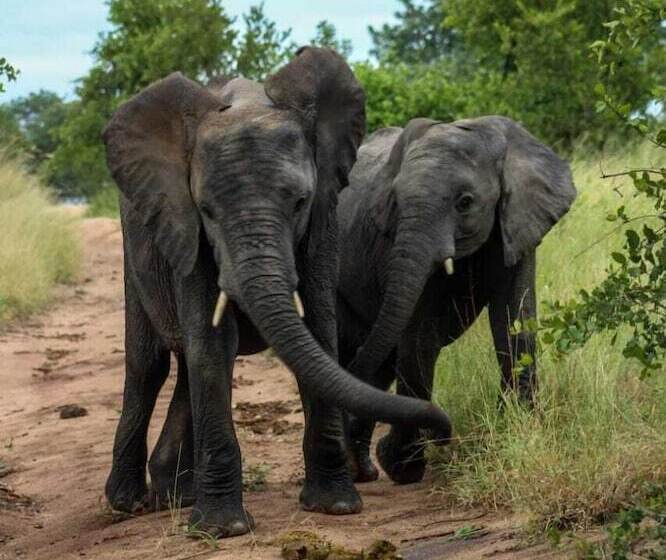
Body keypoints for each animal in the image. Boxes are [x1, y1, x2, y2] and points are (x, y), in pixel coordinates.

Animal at [102, 48, 452, 538]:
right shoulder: (187, 230)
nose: (443, 433)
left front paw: (336, 507)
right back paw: (128, 502)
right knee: (150, 365)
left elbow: (317, 328)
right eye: (207, 211)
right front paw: (223, 530)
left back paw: (174, 496)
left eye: (300, 203)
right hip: (136, 254)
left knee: (188, 369)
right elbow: (212, 344)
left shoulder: (324, 219)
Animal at [336, 116, 576, 485]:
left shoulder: (517, 225)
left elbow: (514, 320)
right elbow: (420, 338)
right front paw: (404, 467)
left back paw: (361, 470)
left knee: (378, 365)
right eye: (395, 201)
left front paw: (518, 432)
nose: (445, 439)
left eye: (464, 202)